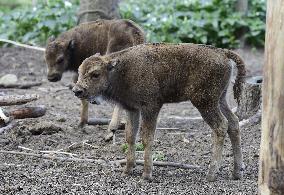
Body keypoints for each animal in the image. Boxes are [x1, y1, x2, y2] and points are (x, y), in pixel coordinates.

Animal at [73, 42, 246, 181]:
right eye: (80, 71)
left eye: (95, 74)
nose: (77, 90)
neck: (121, 70)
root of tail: (223, 53)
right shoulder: (132, 109)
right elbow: (130, 136)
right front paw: (127, 170)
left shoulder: (151, 107)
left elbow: (146, 137)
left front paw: (147, 174)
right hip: (220, 100)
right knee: (233, 123)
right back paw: (237, 172)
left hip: (205, 103)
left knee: (221, 126)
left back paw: (211, 174)